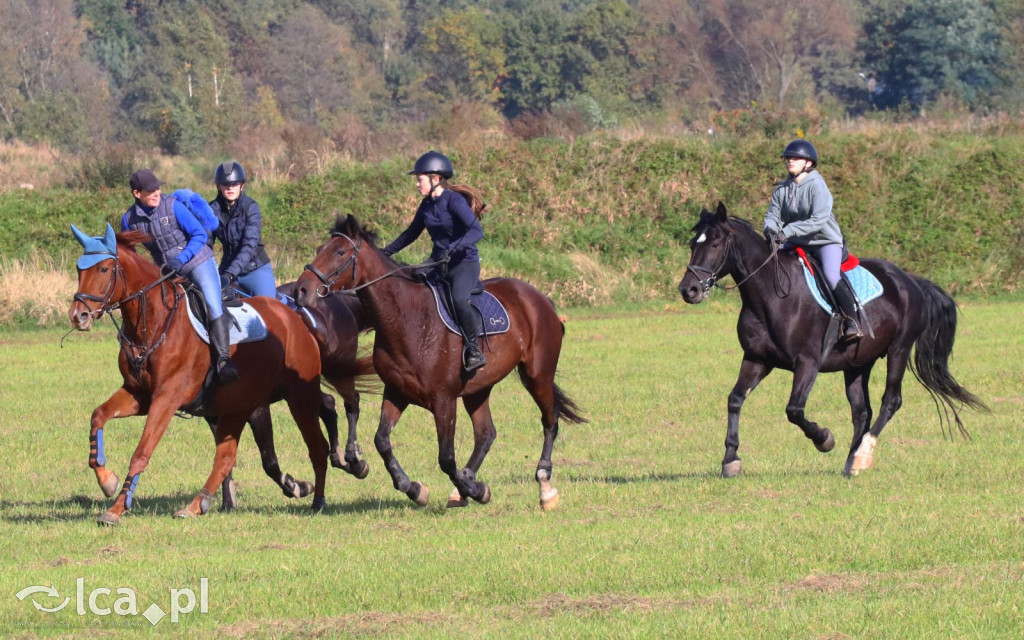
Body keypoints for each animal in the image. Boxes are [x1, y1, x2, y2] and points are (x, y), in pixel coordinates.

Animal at [68, 227, 329, 528]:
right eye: (79, 269)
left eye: (104, 268)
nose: (78, 316)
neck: (153, 323)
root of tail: (295, 318)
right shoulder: (139, 395)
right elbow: (98, 416)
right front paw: (107, 481)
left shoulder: (167, 398)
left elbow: (141, 453)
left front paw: (117, 508)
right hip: (238, 405)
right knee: (226, 457)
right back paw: (196, 504)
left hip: (300, 397)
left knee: (318, 446)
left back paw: (318, 500)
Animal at [292, 212, 589, 509]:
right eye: (319, 249)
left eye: (340, 252)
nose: (301, 291)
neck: (407, 320)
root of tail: (539, 298)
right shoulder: (397, 392)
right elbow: (382, 441)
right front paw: (415, 488)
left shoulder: (444, 400)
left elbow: (445, 458)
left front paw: (473, 489)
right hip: (478, 388)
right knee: (486, 434)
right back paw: (465, 485)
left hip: (537, 375)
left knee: (550, 421)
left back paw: (544, 486)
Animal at [675, 201, 987, 477]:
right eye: (693, 245)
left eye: (715, 245)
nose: (689, 290)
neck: (770, 295)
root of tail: (911, 281)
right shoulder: (757, 359)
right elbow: (735, 399)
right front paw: (730, 459)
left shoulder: (807, 363)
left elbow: (794, 410)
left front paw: (824, 439)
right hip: (858, 364)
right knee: (862, 411)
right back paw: (852, 462)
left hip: (898, 351)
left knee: (891, 401)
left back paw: (863, 453)